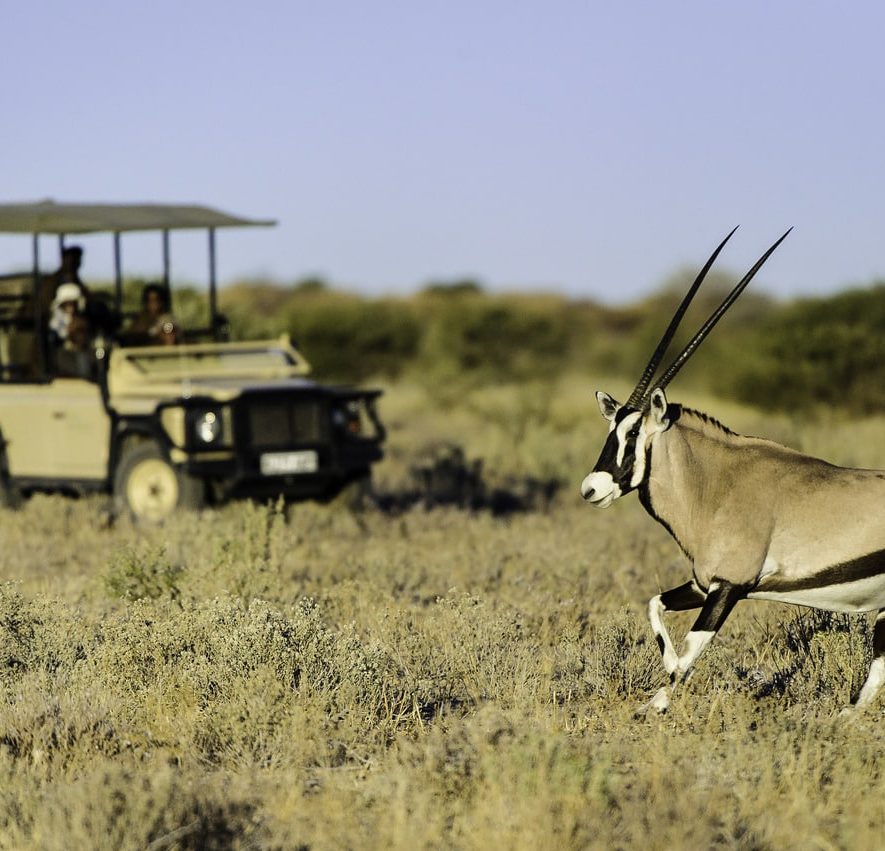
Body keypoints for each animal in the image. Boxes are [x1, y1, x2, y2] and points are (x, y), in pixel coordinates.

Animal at [580, 230, 884, 716]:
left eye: (634, 434)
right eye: (611, 430)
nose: (591, 489)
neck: (717, 487)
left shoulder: (729, 588)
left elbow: (691, 650)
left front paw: (658, 701)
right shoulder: (704, 583)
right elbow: (654, 604)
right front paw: (664, 673)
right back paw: (847, 716)